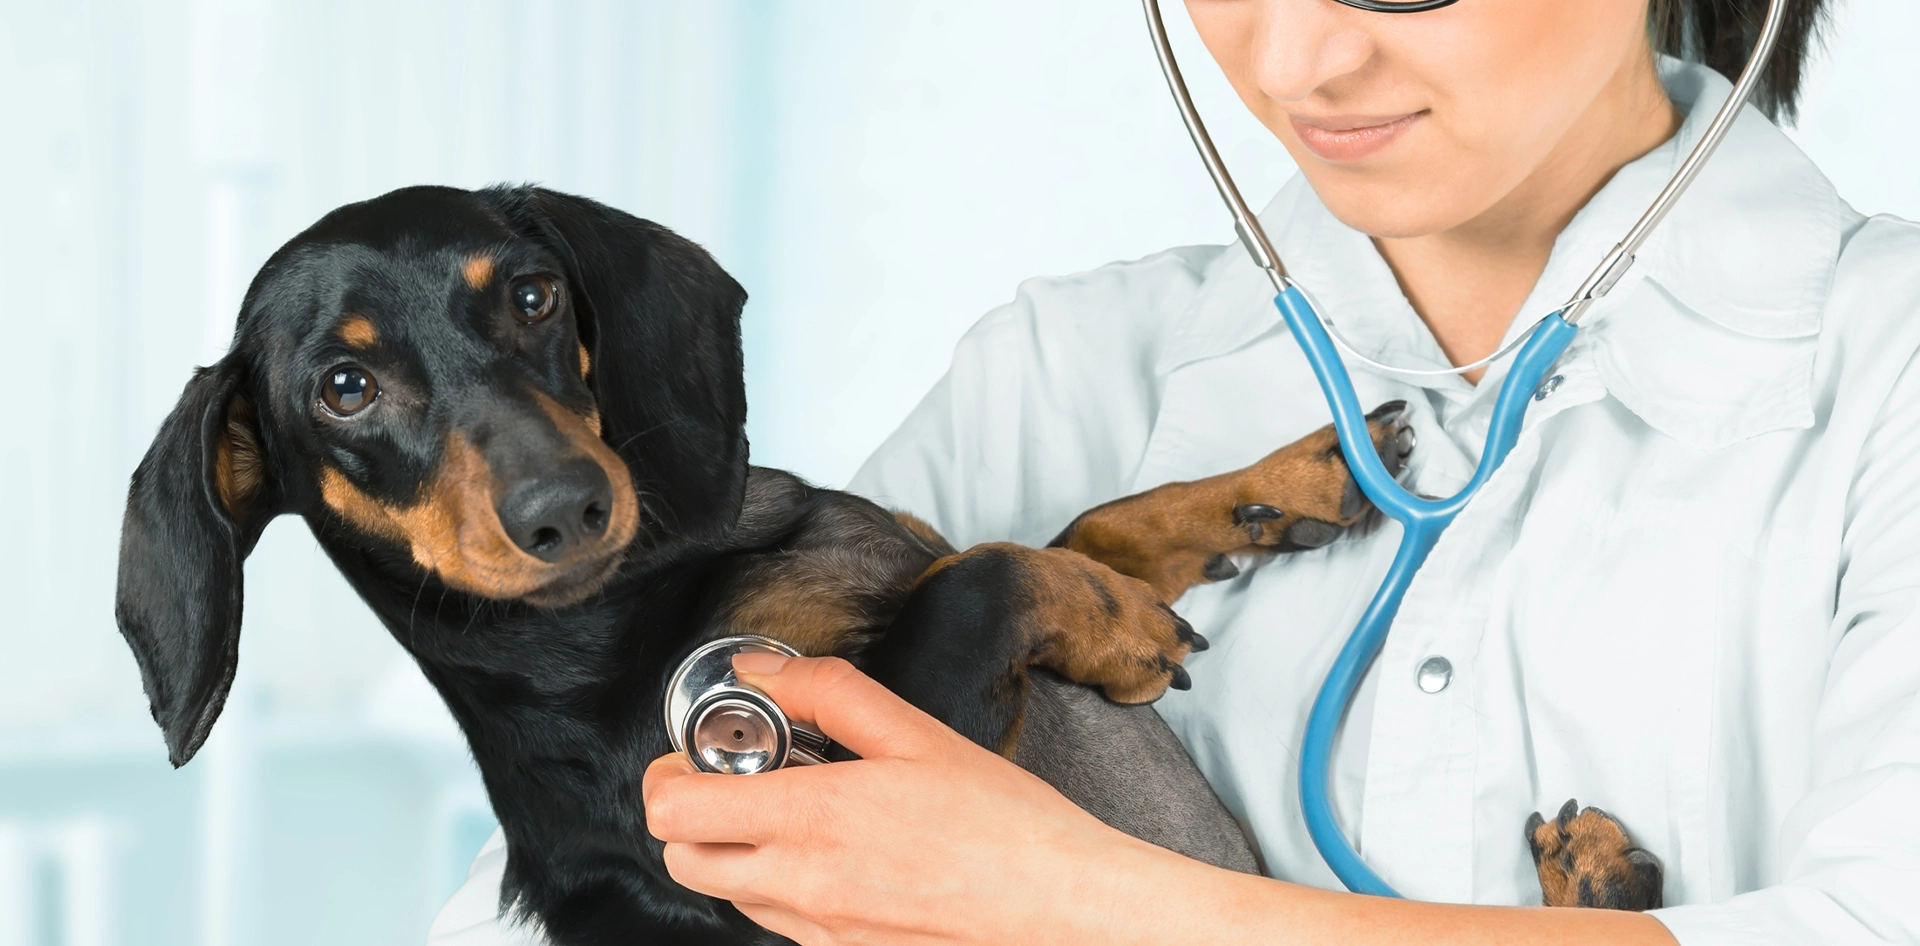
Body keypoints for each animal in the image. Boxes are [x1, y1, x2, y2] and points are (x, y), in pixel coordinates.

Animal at [112, 182, 1658, 936]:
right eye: (343, 389)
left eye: (538, 294)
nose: (566, 507)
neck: (644, 599)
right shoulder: (882, 780)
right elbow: (995, 565)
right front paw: (1118, 620)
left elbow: (1079, 525)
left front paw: (1287, 484)